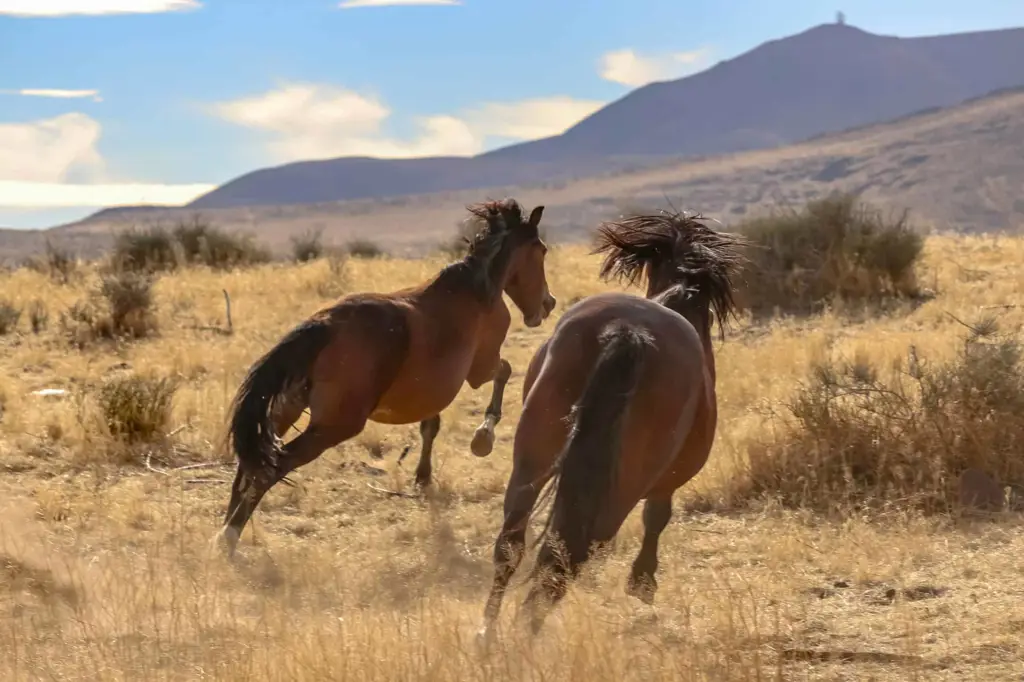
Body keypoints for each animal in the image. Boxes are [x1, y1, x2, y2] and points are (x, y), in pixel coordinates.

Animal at [210, 196, 557, 557]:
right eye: (542, 250)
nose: (548, 304)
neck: (476, 290)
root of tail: (323, 326)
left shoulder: (431, 392)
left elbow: (430, 426)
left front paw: (423, 478)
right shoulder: (480, 369)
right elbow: (504, 371)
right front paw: (482, 438)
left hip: (285, 409)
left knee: (249, 467)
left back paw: (223, 535)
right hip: (334, 425)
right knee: (272, 468)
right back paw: (229, 538)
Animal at [475, 208, 749, 638]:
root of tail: (626, 332)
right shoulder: (666, 480)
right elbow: (658, 515)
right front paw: (643, 581)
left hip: (532, 458)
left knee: (512, 543)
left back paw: (487, 633)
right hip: (623, 485)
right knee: (566, 558)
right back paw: (524, 637)